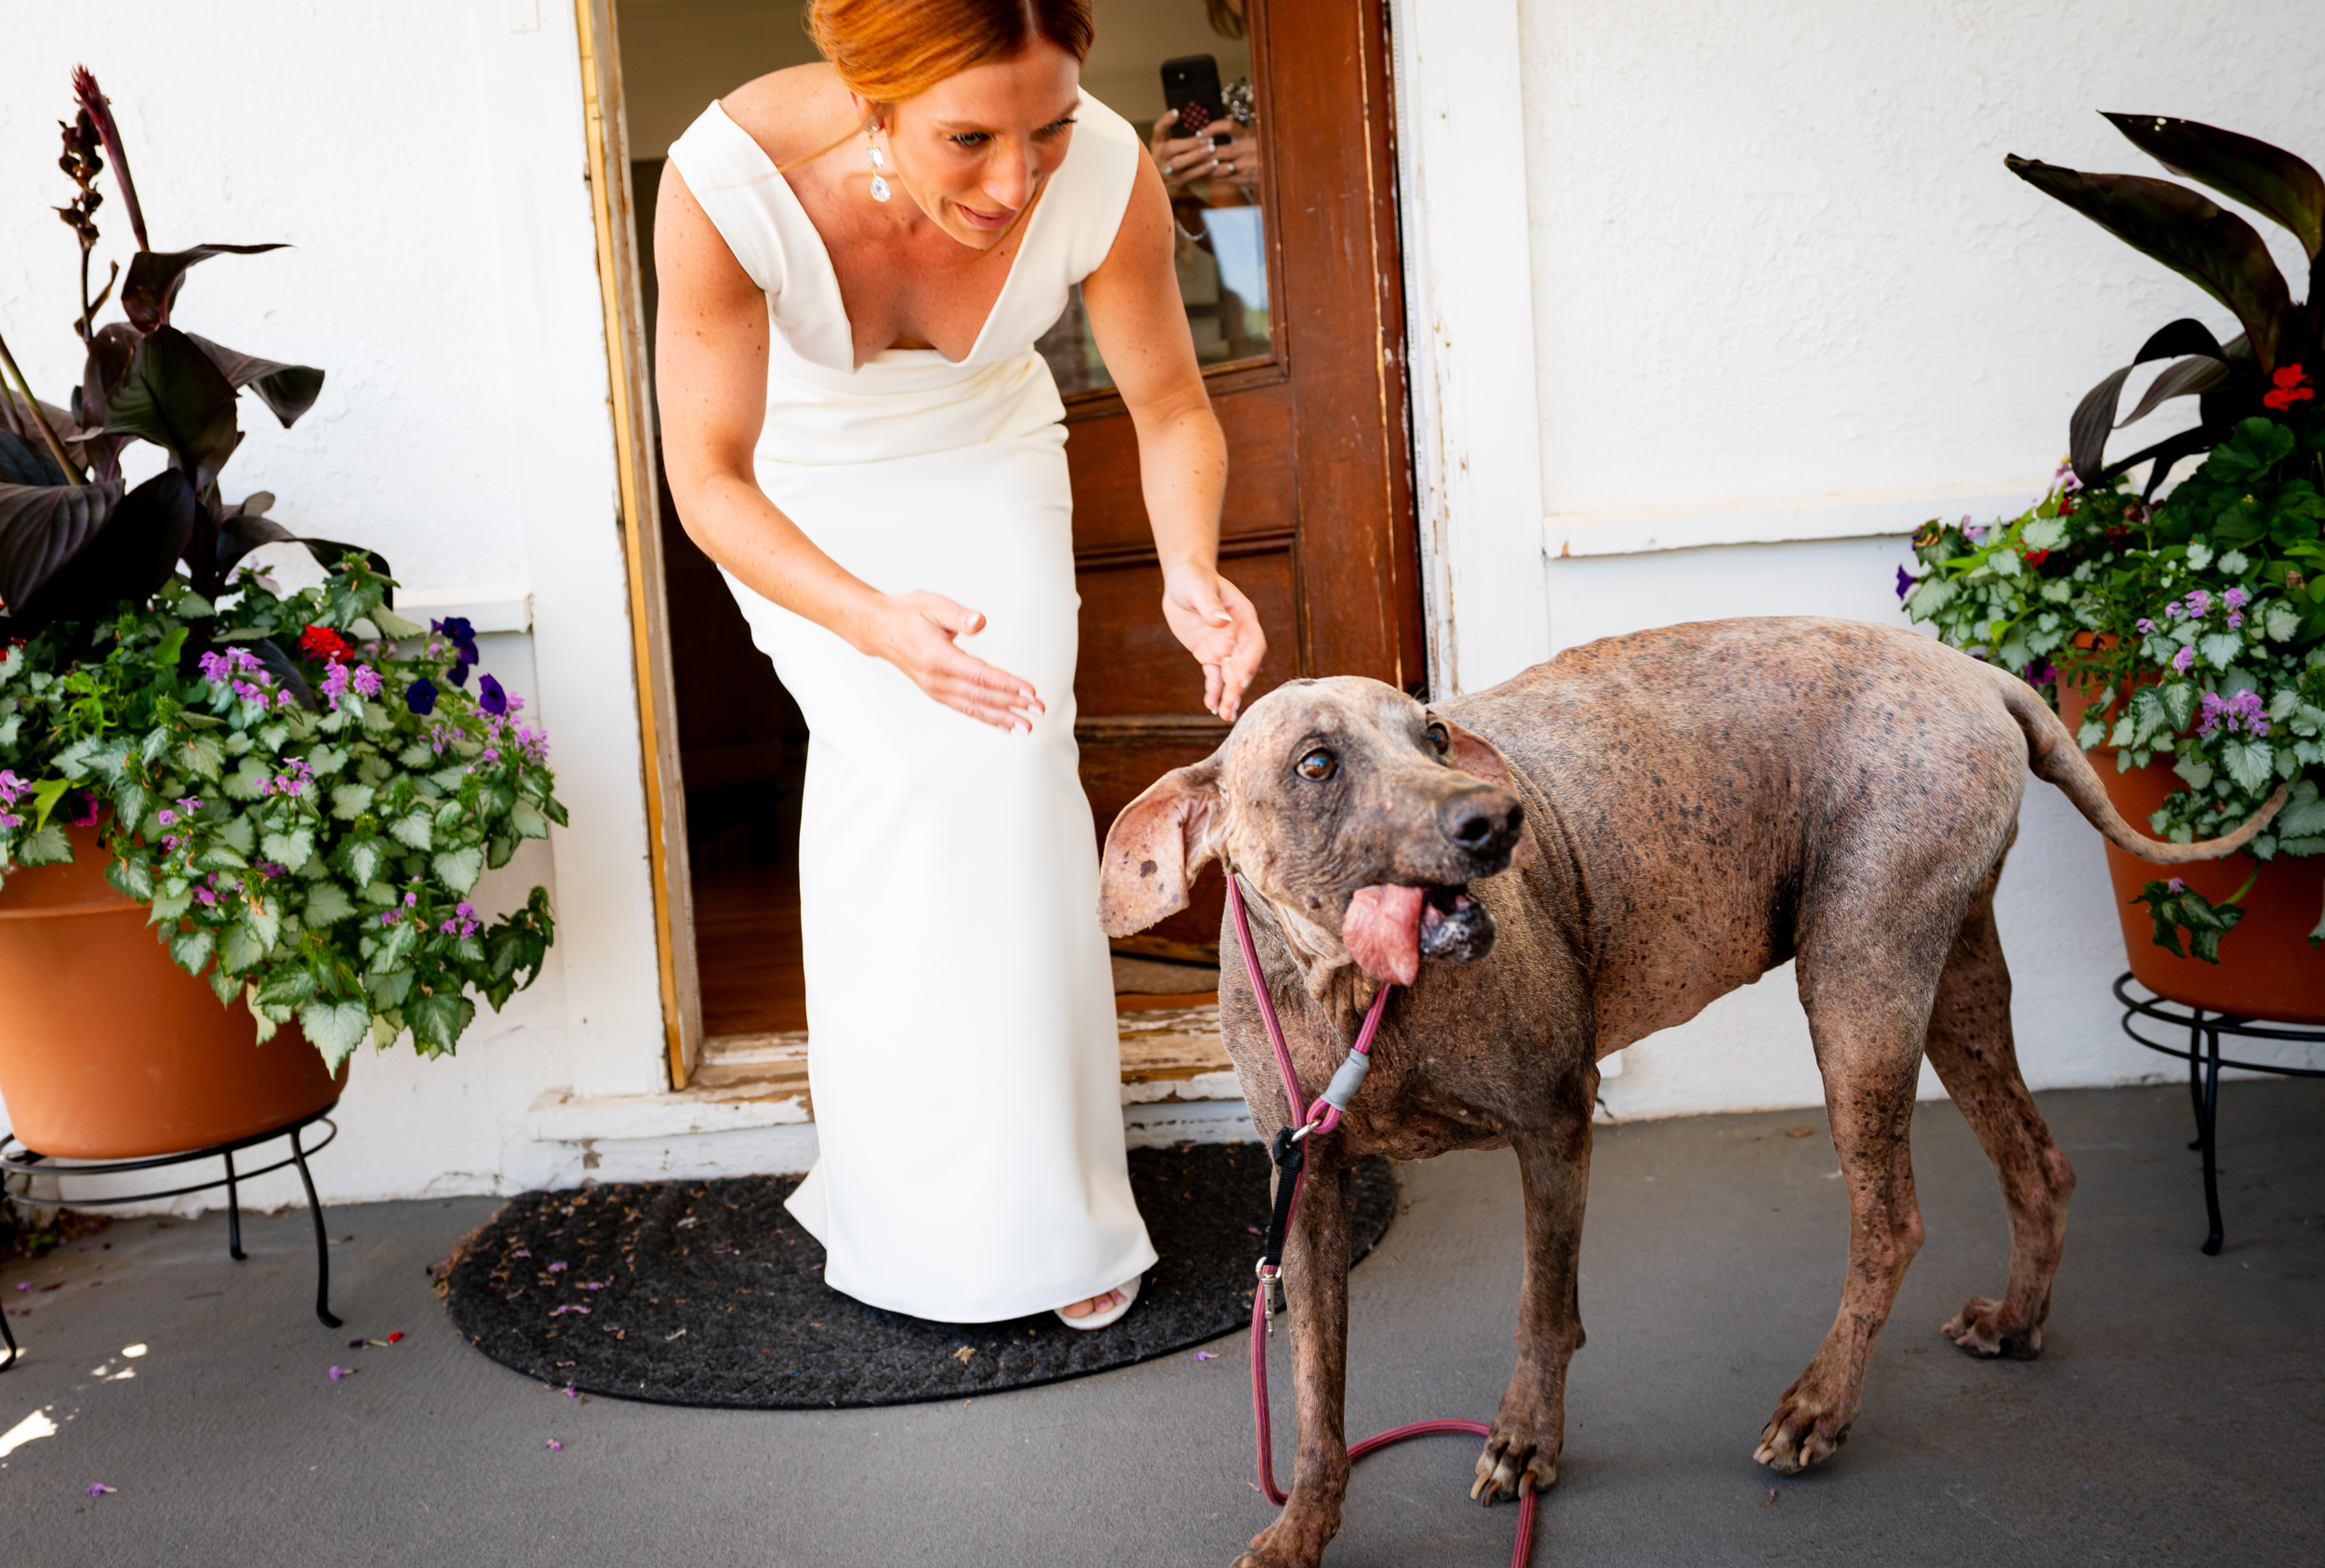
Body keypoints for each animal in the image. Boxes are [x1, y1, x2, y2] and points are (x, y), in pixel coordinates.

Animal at [1097, 618, 2278, 1562]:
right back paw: (2020, 1321)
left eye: (1431, 735)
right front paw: (1303, 1525)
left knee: (1891, 1221)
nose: (1495, 819)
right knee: (2038, 1162)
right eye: (1315, 764)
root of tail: (1975, 673)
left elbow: (1538, 1310)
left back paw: (1819, 1407)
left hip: (1858, 992)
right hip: (1954, 989)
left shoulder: (1554, 1125)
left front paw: (1526, 1440)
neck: (1356, 997)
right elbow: (1313, 1393)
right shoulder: (1307, 1194)